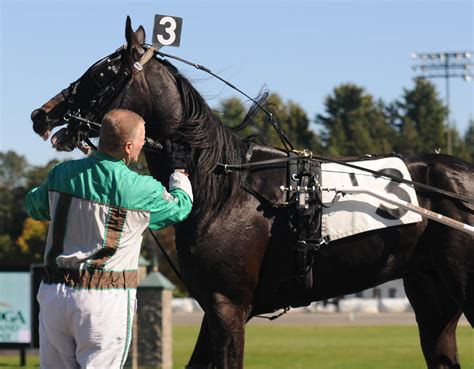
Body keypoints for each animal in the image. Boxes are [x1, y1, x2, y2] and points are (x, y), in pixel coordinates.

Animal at [31, 16, 472, 368]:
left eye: (100, 74)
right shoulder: (215, 306)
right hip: (433, 298)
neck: (223, 187)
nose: (42, 114)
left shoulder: (229, 306)